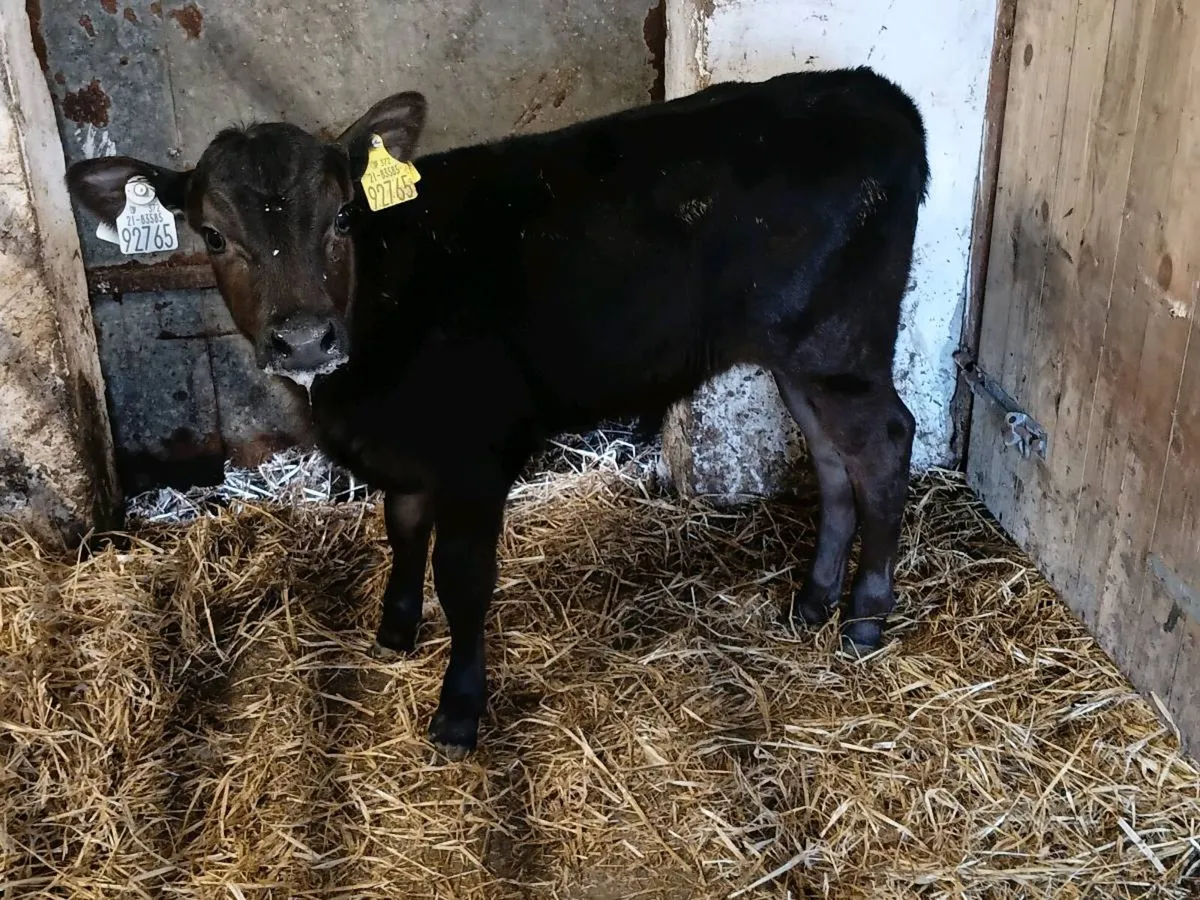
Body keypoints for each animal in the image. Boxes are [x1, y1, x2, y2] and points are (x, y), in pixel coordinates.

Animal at [66, 67, 929, 757]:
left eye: (344, 217)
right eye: (213, 235)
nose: (305, 338)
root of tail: (874, 93)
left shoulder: (474, 456)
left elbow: (463, 579)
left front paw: (458, 710)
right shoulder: (408, 453)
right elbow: (402, 530)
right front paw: (395, 631)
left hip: (838, 345)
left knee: (887, 444)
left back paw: (864, 617)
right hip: (799, 358)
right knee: (834, 460)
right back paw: (812, 602)